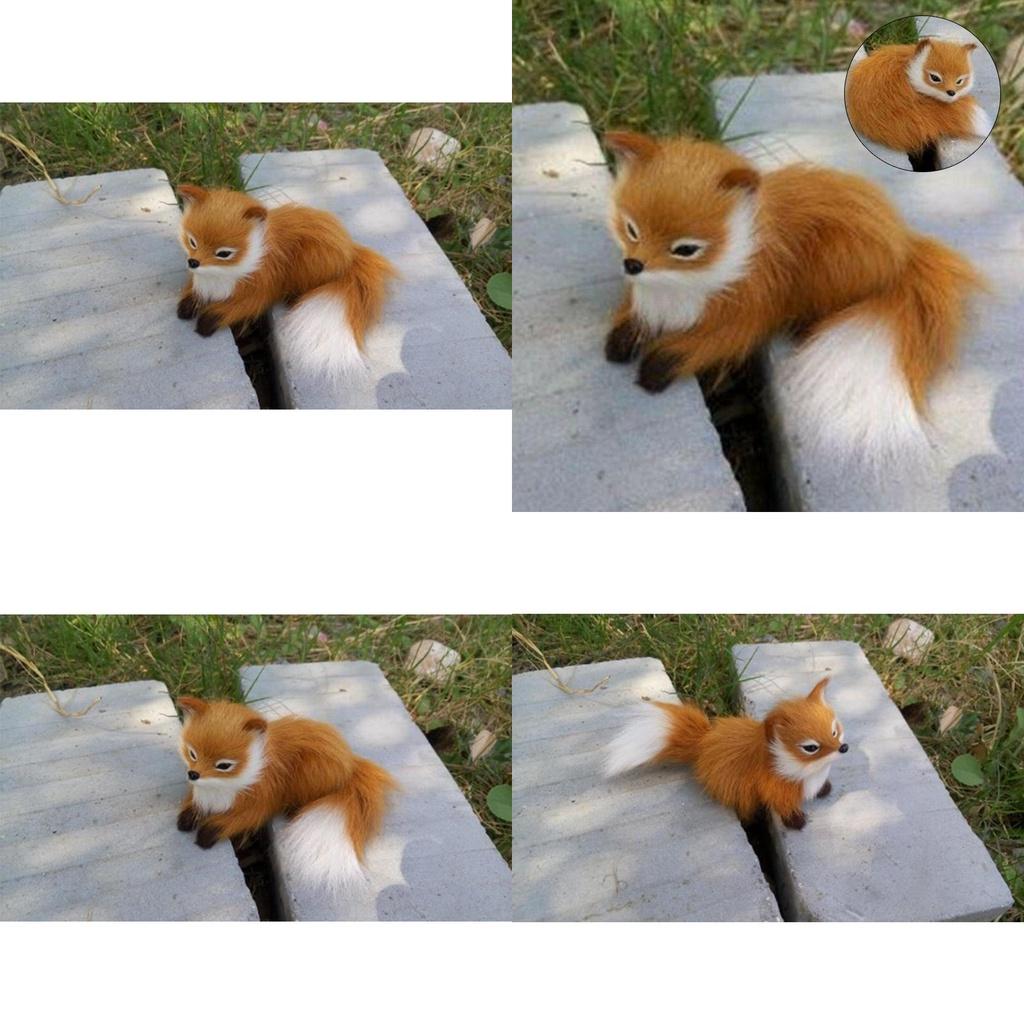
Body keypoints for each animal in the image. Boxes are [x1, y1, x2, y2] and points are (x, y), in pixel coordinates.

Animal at [176, 185, 396, 378]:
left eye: (223, 253)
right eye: (192, 241)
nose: (193, 262)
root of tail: (350, 253)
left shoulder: (260, 288)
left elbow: (237, 308)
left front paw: (206, 322)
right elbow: (193, 293)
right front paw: (187, 306)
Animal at [176, 696, 396, 892]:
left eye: (223, 766)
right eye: (192, 754)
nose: (193, 774)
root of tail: (351, 765)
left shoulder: (260, 800)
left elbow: (237, 820)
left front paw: (206, 834)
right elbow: (193, 805)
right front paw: (187, 819)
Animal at [603, 130, 984, 463]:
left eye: (685, 249)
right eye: (631, 229)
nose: (633, 264)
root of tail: (904, 249)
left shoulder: (747, 308)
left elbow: (706, 344)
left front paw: (655, 368)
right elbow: (634, 318)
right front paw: (621, 340)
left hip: (833, 266)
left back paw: (802, 327)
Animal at [604, 676, 848, 830]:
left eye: (834, 731)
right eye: (811, 748)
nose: (843, 748)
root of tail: (703, 741)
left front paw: (824, 789)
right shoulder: (776, 788)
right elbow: (784, 807)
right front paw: (797, 822)